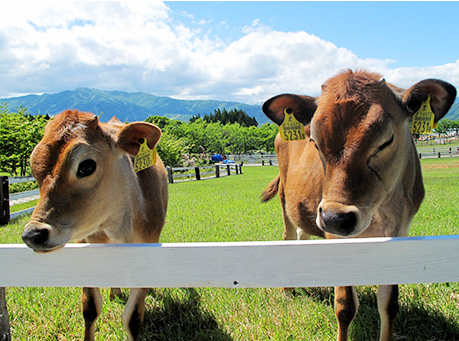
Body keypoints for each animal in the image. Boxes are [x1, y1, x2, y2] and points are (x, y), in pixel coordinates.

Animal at [262, 69, 456, 340]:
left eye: (385, 141)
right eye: (315, 141)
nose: (335, 218)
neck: (378, 214)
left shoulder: (398, 234)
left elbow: (389, 304)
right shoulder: (335, 236)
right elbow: (345, 307)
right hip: (285, 203)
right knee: (289, 237)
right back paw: (288, 291)